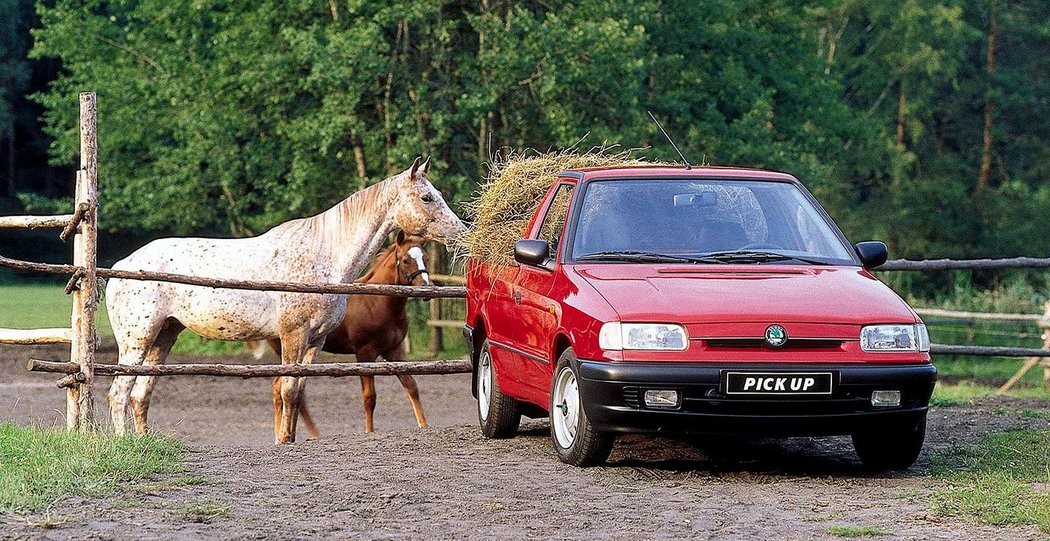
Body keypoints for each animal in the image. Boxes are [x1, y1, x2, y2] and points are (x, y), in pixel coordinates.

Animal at [270, 232, 434, 437]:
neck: (376, 301)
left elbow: (412, 386)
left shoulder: (394, 351)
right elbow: (369, 397)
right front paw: (369, 431)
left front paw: (424, 425)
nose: (425, 288)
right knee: (282, 389)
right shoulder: (365, 354)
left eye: (426, 258)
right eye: (405, 260)